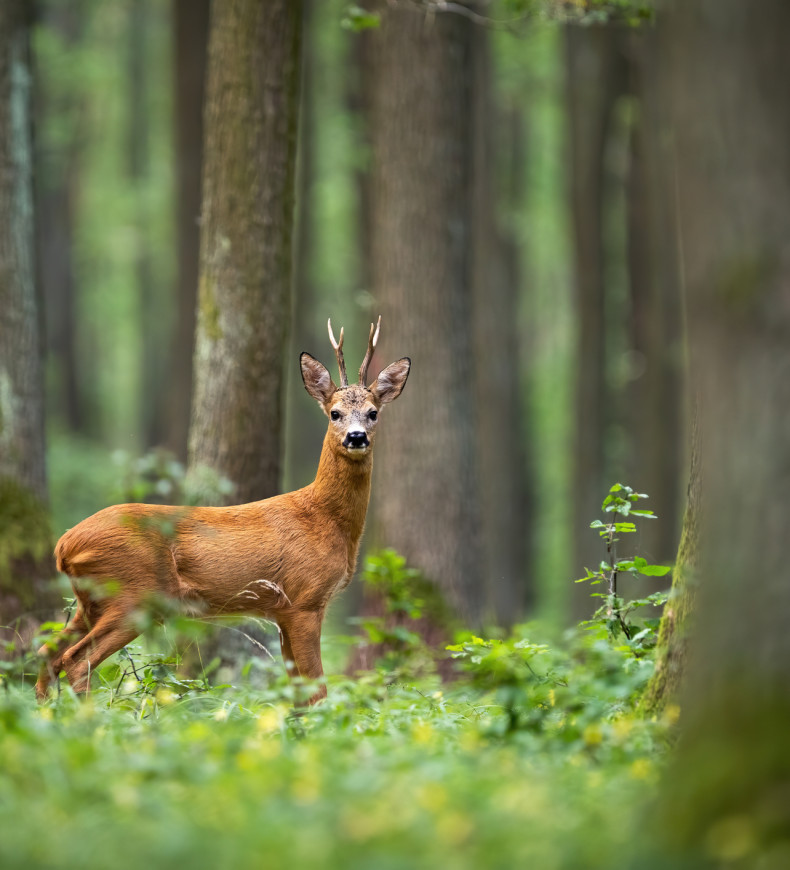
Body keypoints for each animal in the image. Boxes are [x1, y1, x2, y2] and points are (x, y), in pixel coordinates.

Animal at [36, 318, 410, 705]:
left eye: (373, 413)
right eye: (335, 413)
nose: (356, 437)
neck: (325, 518)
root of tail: (64, 545)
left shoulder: (281, 611)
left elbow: (297, 693)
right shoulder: (304, 600)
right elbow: (317, 689)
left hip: (91, 601)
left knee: (47, 653)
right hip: (132, 594)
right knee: (75, 659)